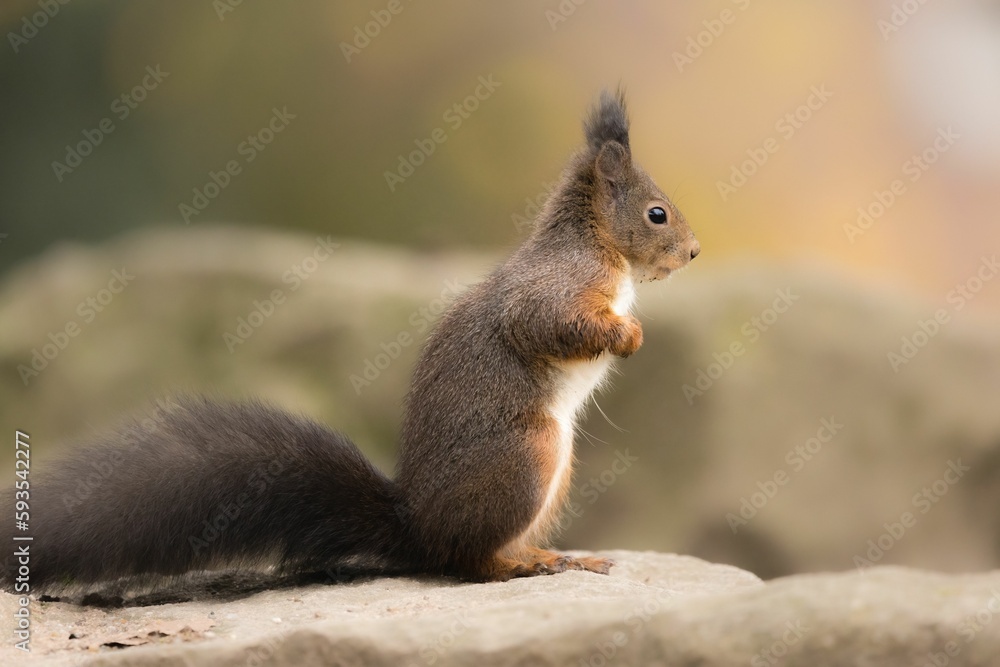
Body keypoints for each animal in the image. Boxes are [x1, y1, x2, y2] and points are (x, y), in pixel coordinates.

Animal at [1, 89, 698, 592]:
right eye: (656, 213)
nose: (694, 252)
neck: (600, 246)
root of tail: (418, 530)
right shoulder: (556, 287)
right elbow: (551, 323)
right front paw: (629, 335)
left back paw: (554, 554)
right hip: (529, 457)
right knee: (466, 563)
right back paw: (521, 563)